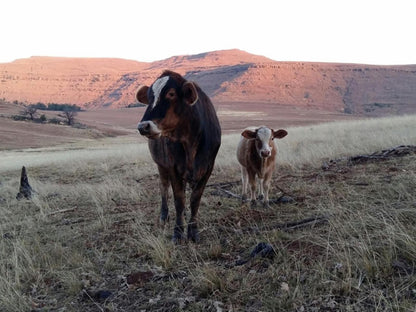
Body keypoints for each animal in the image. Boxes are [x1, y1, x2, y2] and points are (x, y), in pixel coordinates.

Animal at [136, 71, 221, 244]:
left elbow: (195, 199)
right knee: (163, 188)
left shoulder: (208, 168)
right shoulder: (173, 167)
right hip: (161, 166)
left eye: (171, 94)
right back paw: (164, 216)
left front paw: (193, 231)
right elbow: (179, 200)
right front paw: (178, 232)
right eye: (149, 96)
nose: (143, 126)